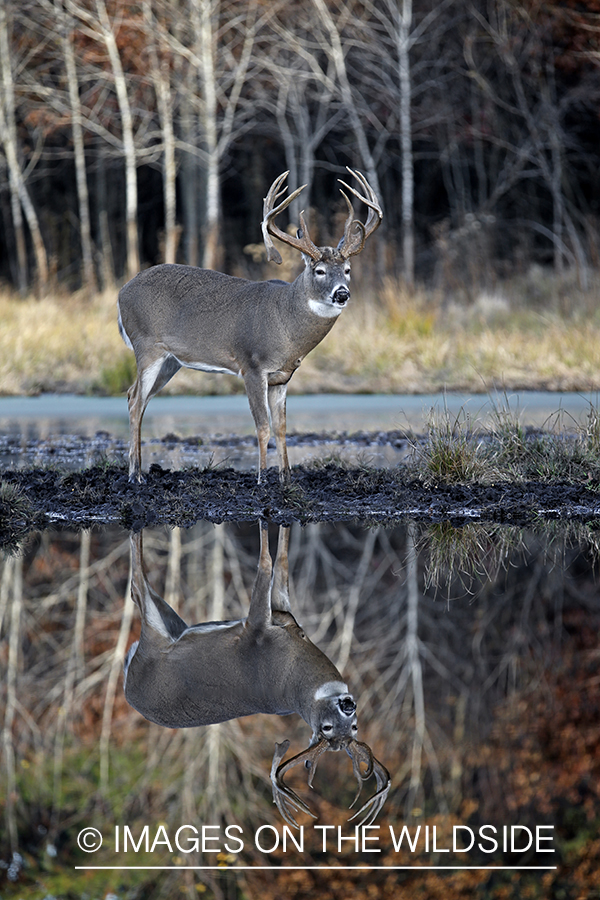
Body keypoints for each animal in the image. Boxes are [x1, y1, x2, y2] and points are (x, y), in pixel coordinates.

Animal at [116, 166, 380, 482]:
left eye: (348, 270)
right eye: (319, 271)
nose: (342, 293)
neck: (285, 323)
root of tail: (121, 293)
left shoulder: (282, 376)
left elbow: (281, 428)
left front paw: (286, 478)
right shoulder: (252, 365)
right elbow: (262, 426)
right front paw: (262, 477)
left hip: (171, 361)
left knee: (136, 397)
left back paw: (137, 469)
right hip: (146, 346)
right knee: (135, 400)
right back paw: (136, 475)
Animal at [124, 528, 392, 828]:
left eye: (350, 728)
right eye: (329, 728)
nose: (347, 705)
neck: (295, 670)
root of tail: (128, 687)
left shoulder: (264, 625)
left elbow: (271, 562)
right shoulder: (271, 619)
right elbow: (277, 561)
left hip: (162, 633)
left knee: (138, 588)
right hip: (169, 626)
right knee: (138, 587)